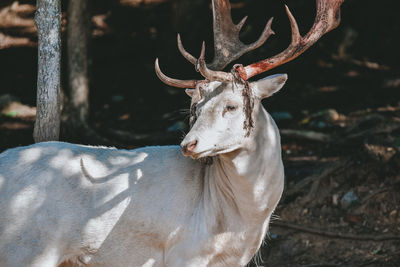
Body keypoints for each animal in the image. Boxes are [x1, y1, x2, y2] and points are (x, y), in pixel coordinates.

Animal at [0, 1, 344, 266]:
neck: (240, 223)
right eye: (195, 107)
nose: (188, 144)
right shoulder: (184, 252)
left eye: (231, 106)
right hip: (26, 248)